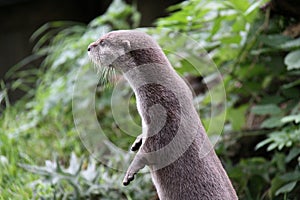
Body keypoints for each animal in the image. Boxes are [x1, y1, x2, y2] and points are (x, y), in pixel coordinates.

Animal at [88, 30, 238, 200]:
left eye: (102, 43)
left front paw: (131, 170)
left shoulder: (163, 109)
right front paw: (138, 140)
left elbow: (154, 146)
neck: (156, 85)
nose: (88, 48)